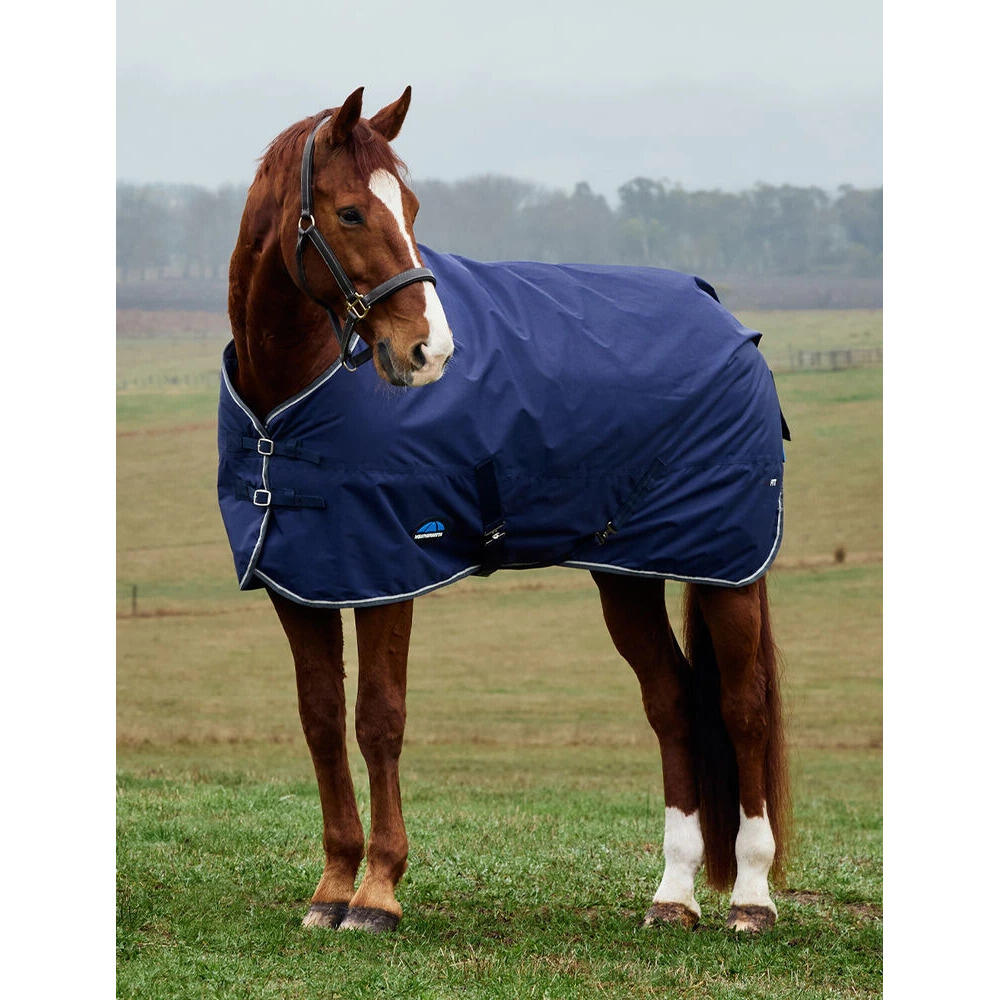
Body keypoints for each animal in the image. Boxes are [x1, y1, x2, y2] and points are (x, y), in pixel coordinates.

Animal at [221, 86, 790, 935]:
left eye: (411, 207)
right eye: (350, 212)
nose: (429, 352)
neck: (287, 401)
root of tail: (730, 324)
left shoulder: (391, 569)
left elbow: (378, 718)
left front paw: (378, 894)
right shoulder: (302, 578)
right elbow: (321, 719)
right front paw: (331, 888)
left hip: (727, 567)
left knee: (743, 706)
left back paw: (751, 898)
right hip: (627, 572)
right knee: (674, 703)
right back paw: (674, 896)